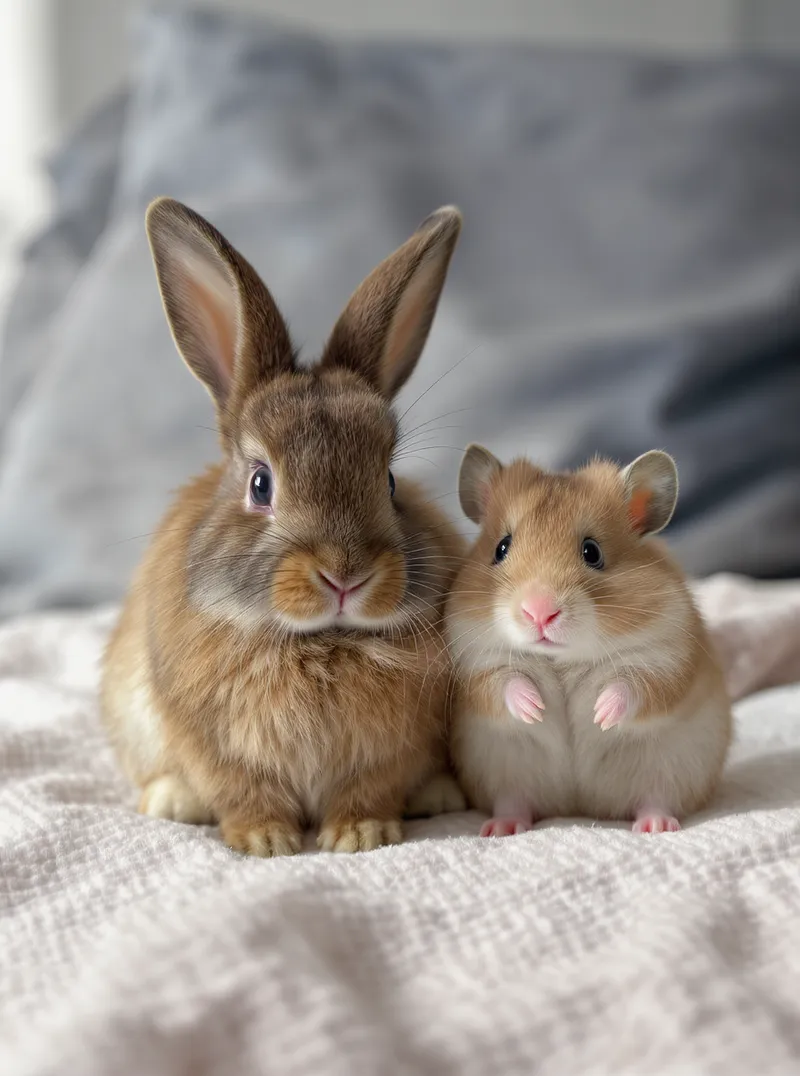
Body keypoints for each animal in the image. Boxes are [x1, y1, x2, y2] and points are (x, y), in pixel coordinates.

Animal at [101, 197, 466, 857]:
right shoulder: (215, 747)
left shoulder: (392, 750)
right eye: (260, 484)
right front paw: (266, 841)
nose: (345, 575)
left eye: (389, 481)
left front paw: (360, 835)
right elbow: (244, 792)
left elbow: (370, 788)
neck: (319, 640)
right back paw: (172, 799)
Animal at [446, 445, 732, 837]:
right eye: (501, 548)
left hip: (672, 769)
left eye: (592, 552)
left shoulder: (666, 657)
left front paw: (600, 716)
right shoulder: (475, 661)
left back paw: (655, 826)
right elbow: (506, 684)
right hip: (502, 775)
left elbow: (630, 687)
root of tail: (578, 805)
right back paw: (500, 829)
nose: (539, 612)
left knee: (656, 798)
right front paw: (536, 710)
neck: (562, 658)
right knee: (514, 802)